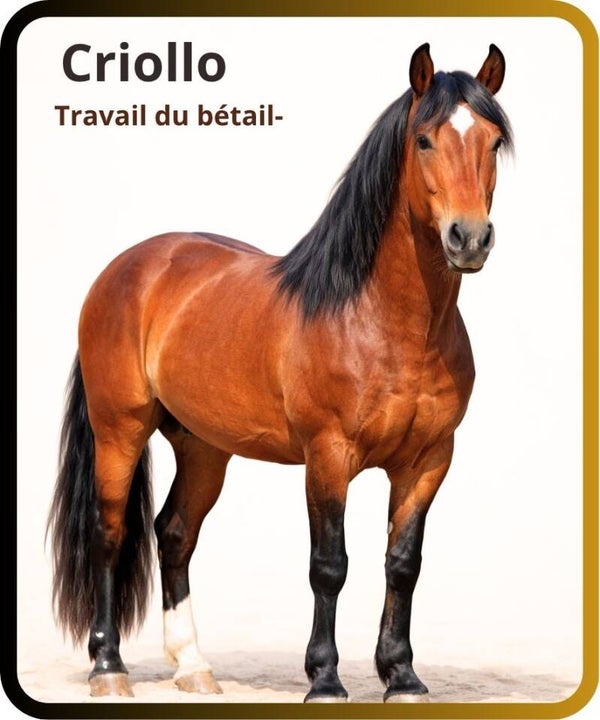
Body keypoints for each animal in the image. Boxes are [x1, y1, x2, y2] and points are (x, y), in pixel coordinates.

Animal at [47, 42, 512, 703]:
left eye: (493, 141)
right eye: (424, 139)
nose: (469, 238)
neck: (383, 323)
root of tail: (125, 269)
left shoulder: (428, 461)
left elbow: (403, 565)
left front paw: (402, 676)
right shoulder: (328, 456)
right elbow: (330, 565)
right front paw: (325, 679)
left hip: (204, 447)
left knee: (174, 534)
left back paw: (193, 667)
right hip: (120, 431)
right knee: (109, 534)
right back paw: (109, 669)